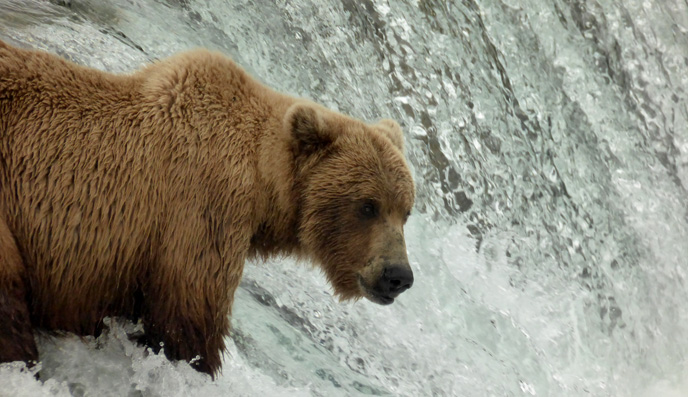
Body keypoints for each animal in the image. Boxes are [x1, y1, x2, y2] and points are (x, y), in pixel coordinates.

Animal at [0, 41, 414, 378]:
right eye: (368, 206)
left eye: (405, 210)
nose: (398, 275)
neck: (262, 183)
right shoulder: (200, 212)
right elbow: (188, 322)